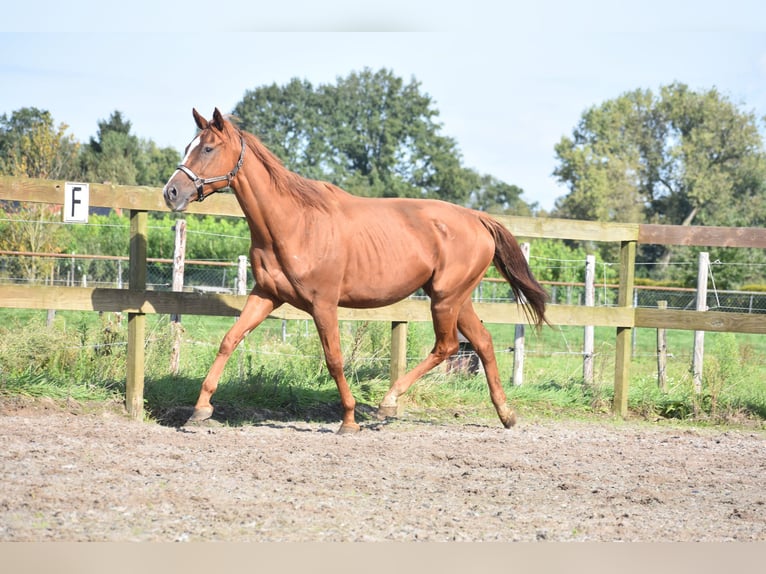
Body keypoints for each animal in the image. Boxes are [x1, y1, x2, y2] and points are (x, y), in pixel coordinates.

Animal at [164, 108, 544, 434]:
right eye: (188, 147)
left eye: (208, 148)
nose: (171, 192)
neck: (293, 223)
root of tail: (477, 218)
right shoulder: (266, 295)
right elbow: (229, 340)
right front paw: (200, 410)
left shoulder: (323, 304)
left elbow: (334, 359)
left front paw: (348, 419)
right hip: (456, 299)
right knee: (482, 342)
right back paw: (506, 415)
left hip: (445, 299)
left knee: (447, 345)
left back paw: (388, 402)